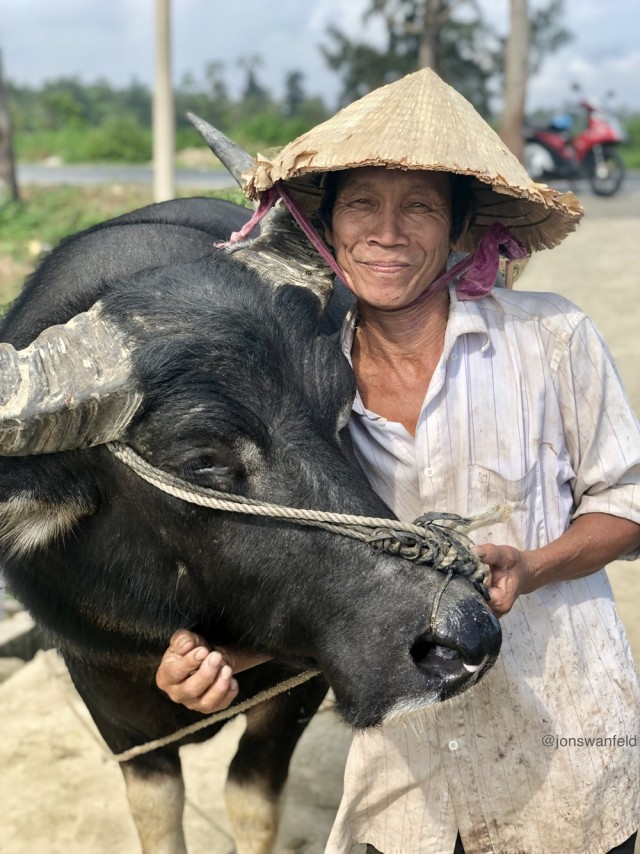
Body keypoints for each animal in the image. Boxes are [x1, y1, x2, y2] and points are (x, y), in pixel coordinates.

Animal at [0, 127, 500, 854]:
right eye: (203, 459)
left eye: (342, 404)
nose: (466, 634)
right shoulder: (103, 691)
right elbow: (156, 810)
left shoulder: (295, 687)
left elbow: (251, 800)